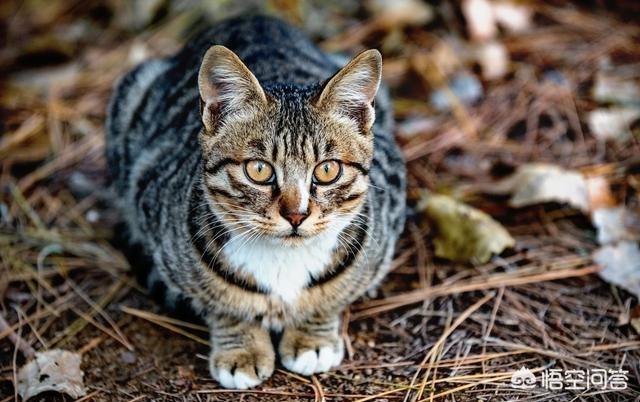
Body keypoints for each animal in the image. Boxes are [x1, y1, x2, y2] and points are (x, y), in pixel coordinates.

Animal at [105, 15, 404, 390]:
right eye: (259, 170)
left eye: (327, 170)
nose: (296, 214)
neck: (284, 259)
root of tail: (251, 16)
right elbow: (220, 304)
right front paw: (241, 349)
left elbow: (334, 296)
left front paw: (313, 336)